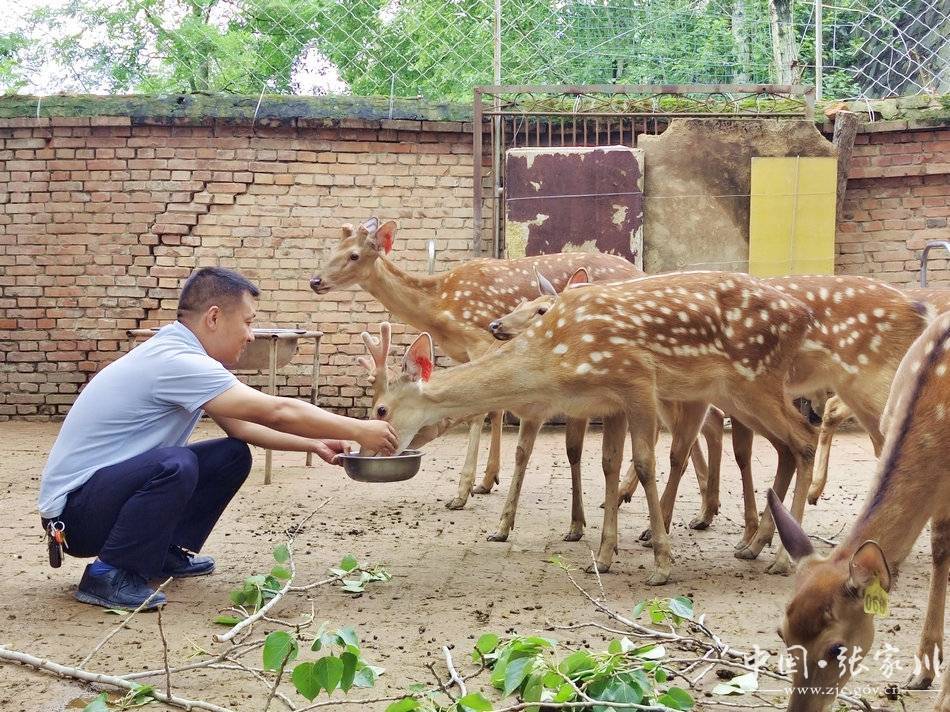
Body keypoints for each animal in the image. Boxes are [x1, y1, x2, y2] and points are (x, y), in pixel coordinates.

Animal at [308, 217, 644, 512]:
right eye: (333, 248)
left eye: (354, 255)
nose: (315, 280)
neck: (438, 308)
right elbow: (493, 408)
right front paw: (487, 480)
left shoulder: (479, 339)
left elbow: (480, 412)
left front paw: (463, 491)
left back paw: (623, 494)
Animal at [362, 272, 820, 584]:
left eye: (381, 409)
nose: (367, 450)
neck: (557, 359)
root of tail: (803, 316)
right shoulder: (610, 402)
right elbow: (609, 464)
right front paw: (602, 557)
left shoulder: (637, 380)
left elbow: (645, 463)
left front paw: (661, 564)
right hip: (737, 392)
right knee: (785, 447)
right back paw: (756, 546)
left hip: (754, 378)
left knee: (804, 438)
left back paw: (783, 558)